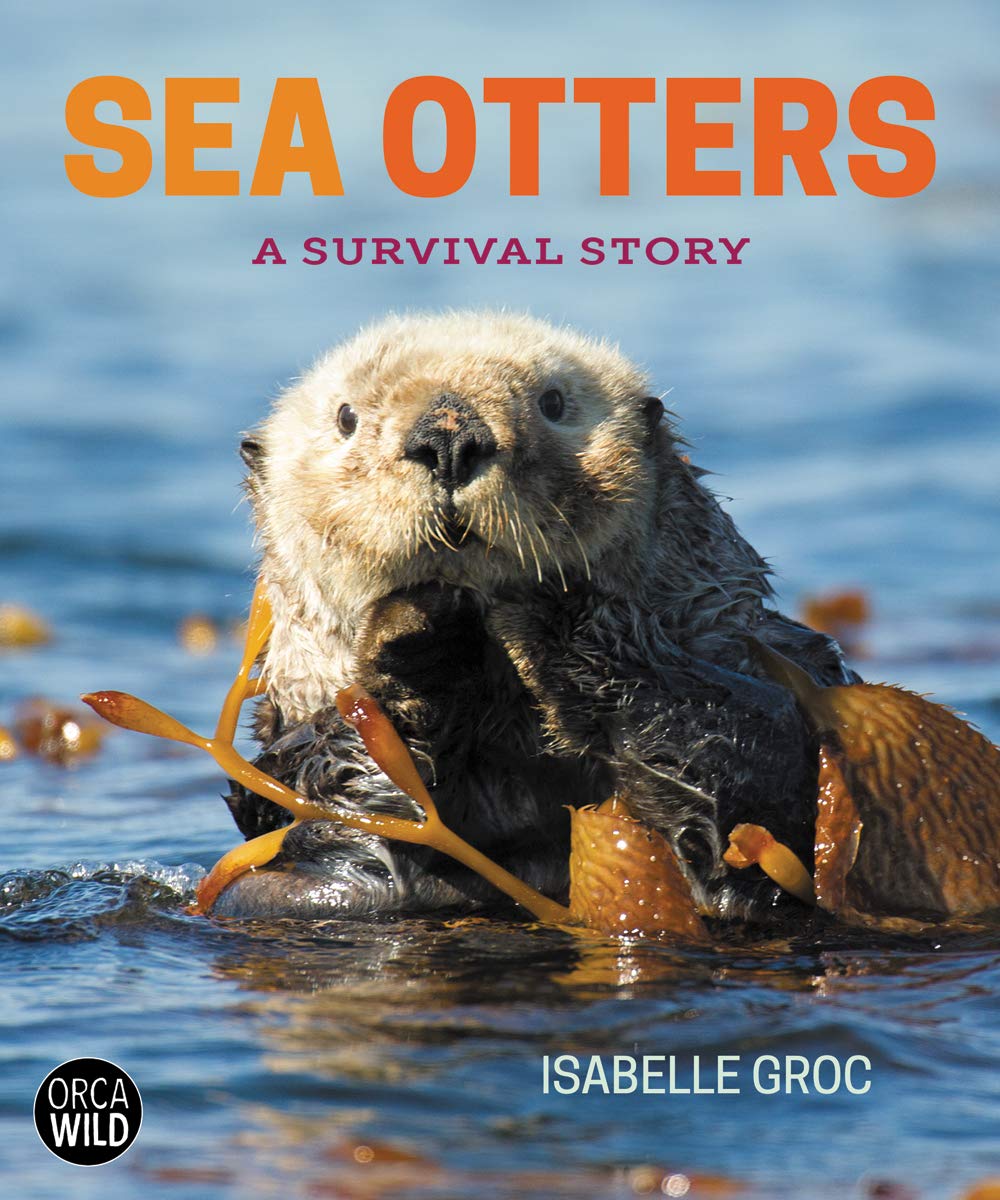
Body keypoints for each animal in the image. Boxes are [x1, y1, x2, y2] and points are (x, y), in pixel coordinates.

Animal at [215, 311, 853, 921]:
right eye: (346, 417)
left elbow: (764, 773)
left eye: (554, 403)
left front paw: (549, 608)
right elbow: (327, 844)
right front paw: (415, 634)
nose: (449, 440)